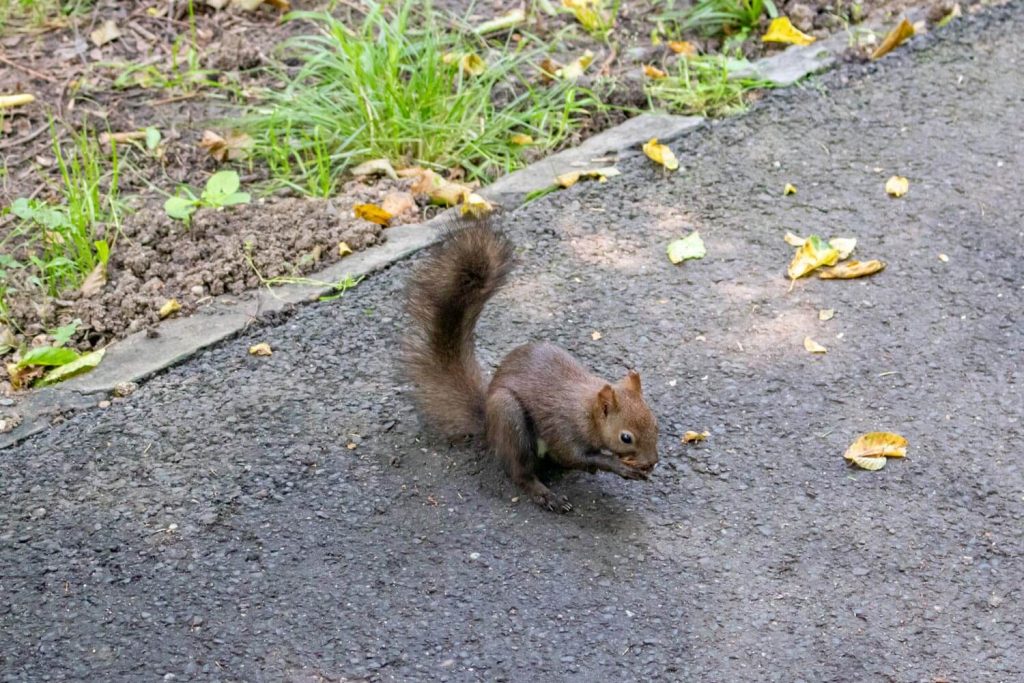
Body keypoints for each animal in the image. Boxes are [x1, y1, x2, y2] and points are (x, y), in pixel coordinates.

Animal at [401, 220, 659, 512]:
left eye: (655, 423)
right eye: (626, 437)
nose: (652, 461)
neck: (587, 410)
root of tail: (488, 425)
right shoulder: (563, 429)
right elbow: (576, 456)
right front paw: (618, 466)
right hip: (509, 418)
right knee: (520, 471)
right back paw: (545, 494)